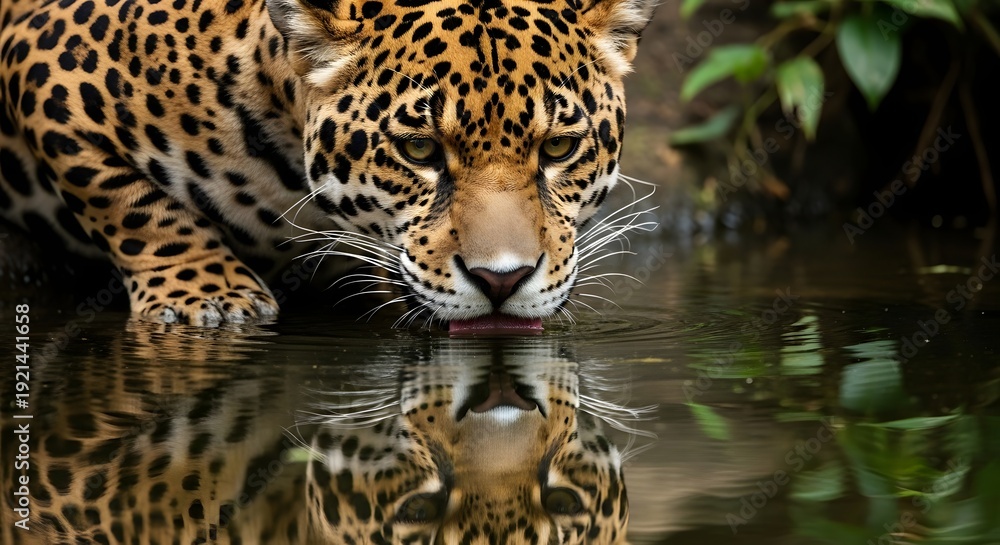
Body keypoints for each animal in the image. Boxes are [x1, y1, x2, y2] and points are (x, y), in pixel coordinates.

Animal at [0, 0, 656, 326]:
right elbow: (127, 202)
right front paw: (209, 297)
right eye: (419, 150)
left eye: (558, 148)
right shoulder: (47, 69)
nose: (502, 280)